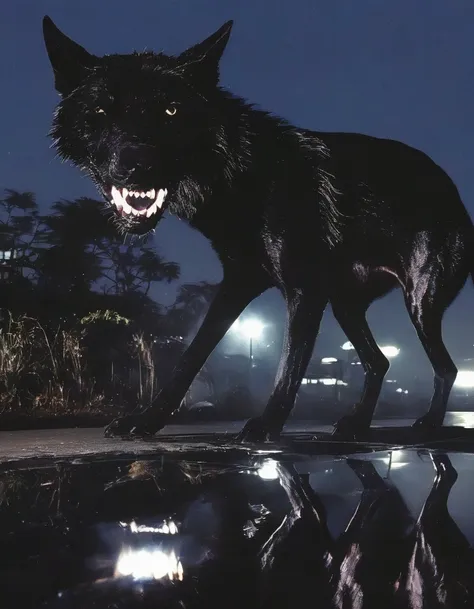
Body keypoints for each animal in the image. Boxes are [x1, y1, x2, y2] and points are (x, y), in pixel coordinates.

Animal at [42, 16, 472, 440]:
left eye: (171, 111)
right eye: (100, 112)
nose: (137, 164)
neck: (238, 174)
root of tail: (452, 191)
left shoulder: (303, 288)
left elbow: (289, 363)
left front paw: (267, 425)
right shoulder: (238, 282)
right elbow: (192, 355)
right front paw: (147, 420)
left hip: (418, 306)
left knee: (444, 367)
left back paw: (428, 424)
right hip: (346, 306)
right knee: (380, 362)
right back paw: (356, 424)